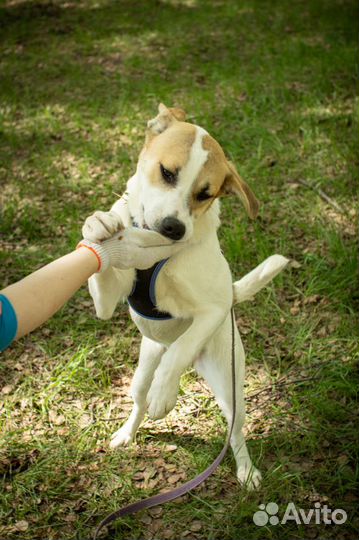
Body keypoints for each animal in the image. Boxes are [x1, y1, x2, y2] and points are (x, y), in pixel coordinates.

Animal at [83, 103, 288, 488]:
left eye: (205, 194)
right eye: (167, 172)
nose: (173, 229)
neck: (156, 254)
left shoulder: (214, 308)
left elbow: (181, 347)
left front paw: (166, 393)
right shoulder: (106, 302)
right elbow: (102, 265)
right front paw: (98, 224)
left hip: (229, 385)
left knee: (235, 431)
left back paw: (246, 470)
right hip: (141, 372)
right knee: (139, 400)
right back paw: (127, 433)